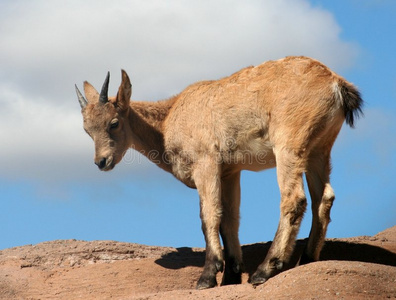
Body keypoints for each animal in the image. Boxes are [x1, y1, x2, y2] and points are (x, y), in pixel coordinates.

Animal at [75, 55, 362, 288]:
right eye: (87, 130)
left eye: (113, 123)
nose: (101, 161)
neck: (168, 121)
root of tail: (336, 85)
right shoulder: (230, 171)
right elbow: (229, 218)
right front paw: (231, 276)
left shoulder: (206, 162)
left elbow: (209, 215)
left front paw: (208, 276)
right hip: (319, 150)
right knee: (323, 197)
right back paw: (307, 259)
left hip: (289, 144)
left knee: (294, 199)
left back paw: (265, 270)